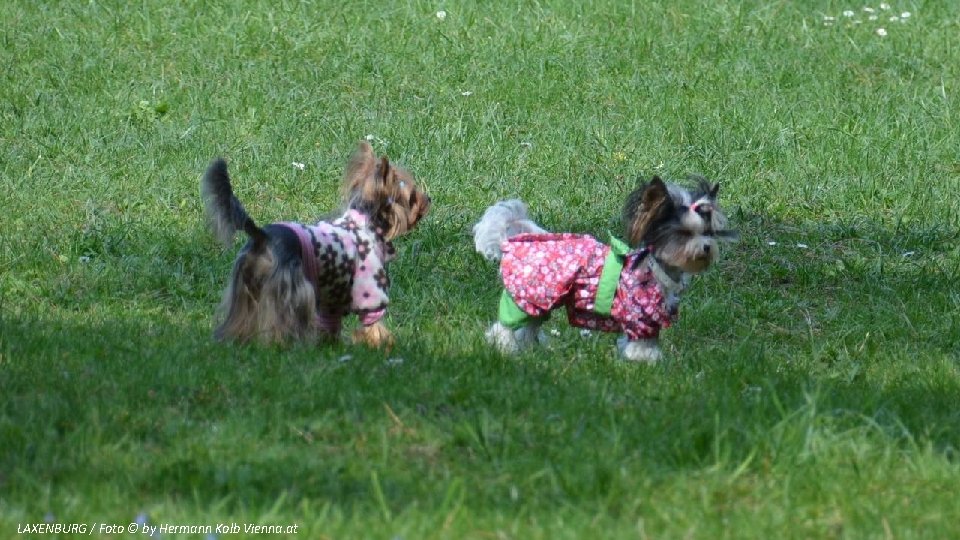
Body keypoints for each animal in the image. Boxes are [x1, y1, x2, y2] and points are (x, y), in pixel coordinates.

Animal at [202, 141, 432, 348]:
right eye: (412, 197)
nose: (428, 198)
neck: (366, 220)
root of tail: (262, 237)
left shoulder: (332, 295)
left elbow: (330, 323)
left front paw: (330, 345)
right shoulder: (369, 288)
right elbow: (373, 323)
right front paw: (383, 345)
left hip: (245, 288)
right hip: (292, 291)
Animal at [472, 177, 736, 362]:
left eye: (707, 233)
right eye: (684, 233)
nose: (707, 247)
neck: (658, 272)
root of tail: (508, 243)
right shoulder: (640, 316)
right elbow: (642, 346)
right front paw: (646, 361)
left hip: (539, 303)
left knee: (528, 326)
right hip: (528, 298)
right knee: (505, 327)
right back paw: (503, 348)